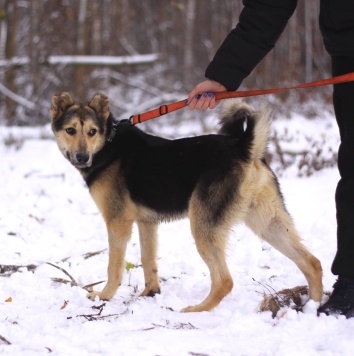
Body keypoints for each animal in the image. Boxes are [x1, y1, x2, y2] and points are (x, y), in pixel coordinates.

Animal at [50, 92, 324, 312]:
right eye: (70, 130)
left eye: (92, 132)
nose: (82, 157)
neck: (108, 144)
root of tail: (244, 148)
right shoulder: (147, 223)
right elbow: (148, 260)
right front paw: (150, 294)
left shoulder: (118, 223)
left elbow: (114, 267)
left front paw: (104, 296)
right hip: (268, 223)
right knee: (312, 262)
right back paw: (313, 307)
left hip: (203, 226)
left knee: (224, 281)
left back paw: (197, 310)